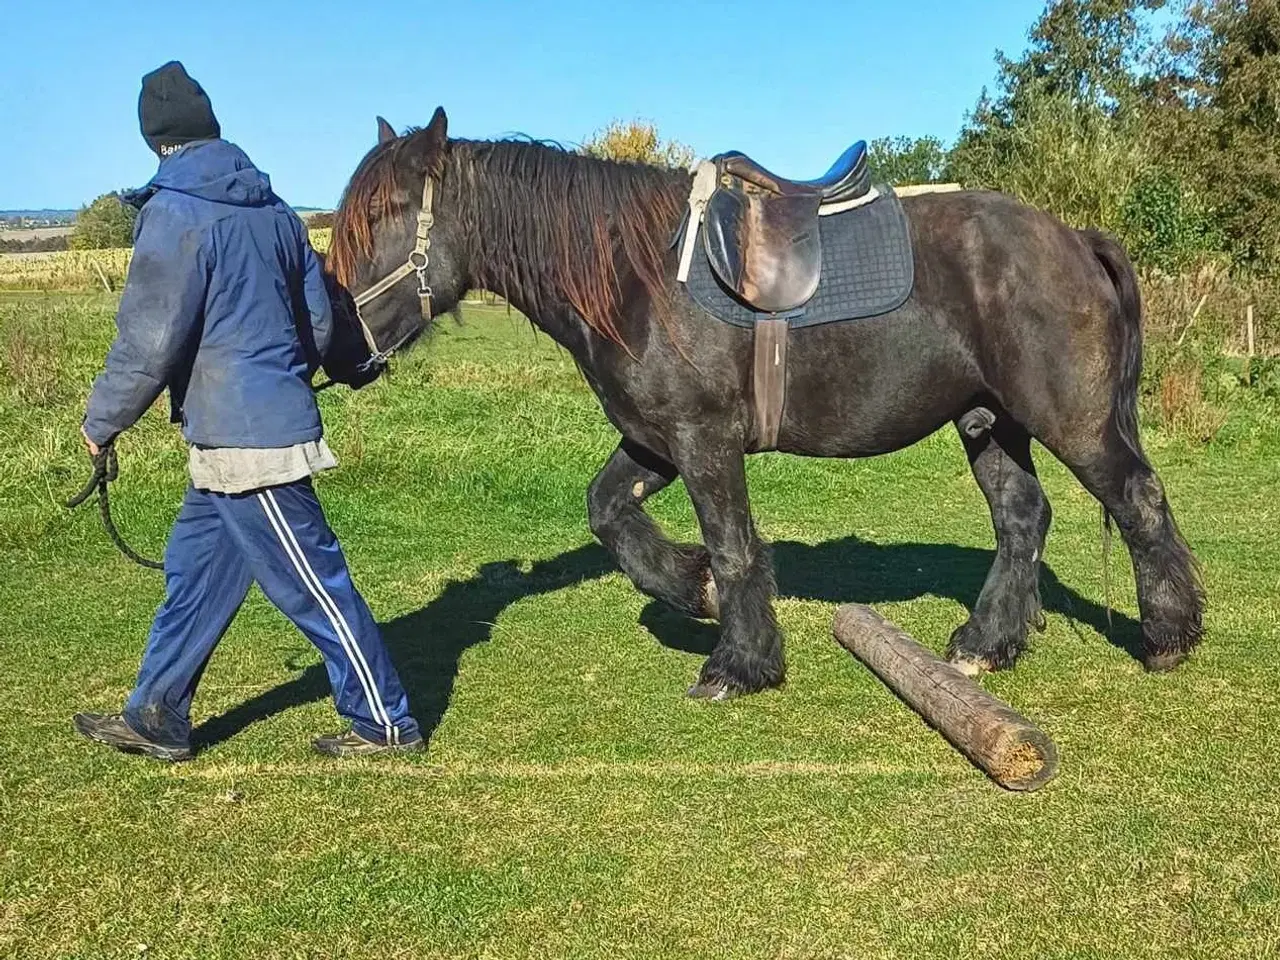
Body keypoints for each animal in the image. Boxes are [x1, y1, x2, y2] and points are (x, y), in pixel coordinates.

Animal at [325, 108, 1203, 701]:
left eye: (384, 216)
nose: (336, 343)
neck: (641, 280)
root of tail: (1075, 237)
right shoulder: (653, 443)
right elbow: (609, 513)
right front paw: (692, 591)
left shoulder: (703, 441)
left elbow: (735, 545)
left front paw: (739, 663)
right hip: (990, 422)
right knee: (1023, 518)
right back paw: (987, 642)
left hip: (1071, 421)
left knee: (1139, 501)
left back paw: (1168, 636)